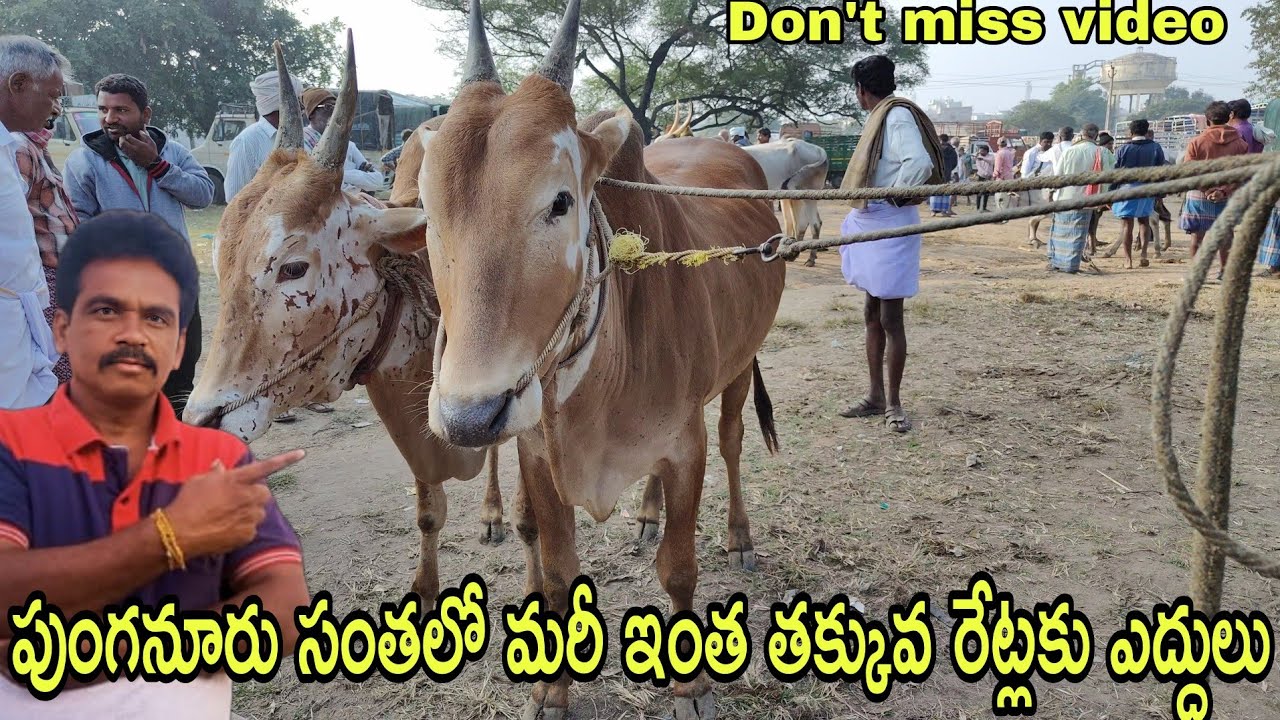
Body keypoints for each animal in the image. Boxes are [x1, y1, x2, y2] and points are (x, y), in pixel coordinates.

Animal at [420, 0, 786, 717]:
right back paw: (646, 512)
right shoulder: (538, 453)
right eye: (427, 209)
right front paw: (552, 690)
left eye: (561, 200)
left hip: (739, 367)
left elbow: (679, 569)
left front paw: (691, 685)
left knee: (733, 441)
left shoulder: (685, 447)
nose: (472, 416)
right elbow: (559, 575)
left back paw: (739, 535)